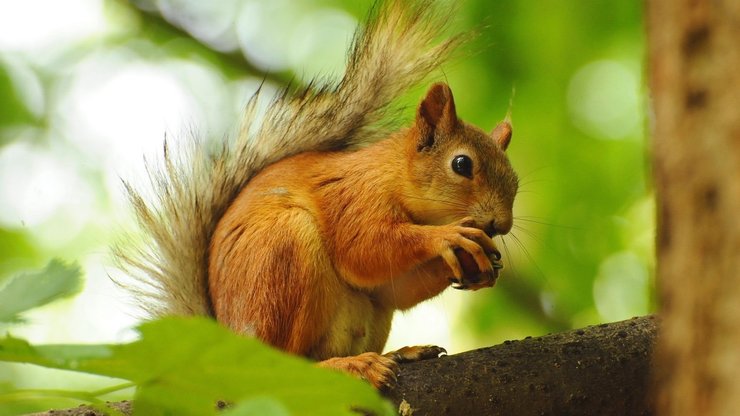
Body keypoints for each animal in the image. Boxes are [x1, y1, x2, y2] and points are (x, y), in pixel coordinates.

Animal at [117, 0, 520, 390]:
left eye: (516, 181)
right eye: (462, 164)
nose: (501, 224)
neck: (392, 175)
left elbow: (393, 289)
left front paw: (479, 264)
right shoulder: (353, 198)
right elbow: (363, 249)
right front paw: (447, 237)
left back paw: (401, 353)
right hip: (283, 257)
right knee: (286, 365)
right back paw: (350, 366)